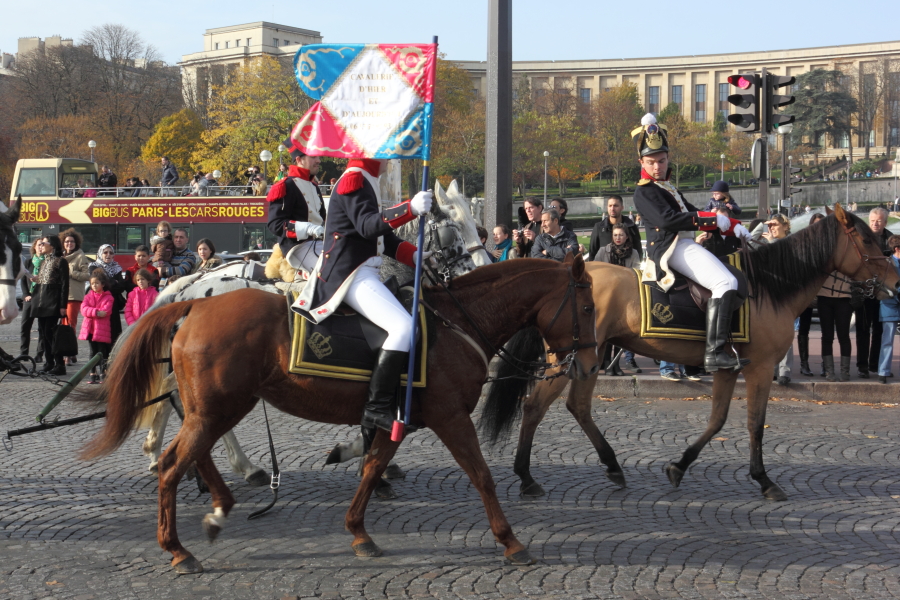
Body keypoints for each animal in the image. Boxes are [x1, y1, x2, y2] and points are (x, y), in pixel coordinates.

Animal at [77, 253, 596, 572]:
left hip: (218, 407)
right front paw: (511, 541)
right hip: (218, 408)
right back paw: (178, 547)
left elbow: (372, 467)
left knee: (192, 453)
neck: (455, 322)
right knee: (173, 463)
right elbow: (482, 475)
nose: (589, 365)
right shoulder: (451, 418)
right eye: (589, 306)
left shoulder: (397, 419)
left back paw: (220, 505)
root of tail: (192, 304)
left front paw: (359, 532)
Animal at [486, 205, 900, 502]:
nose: (896, 281)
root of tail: (564, 272)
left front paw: (680, 466)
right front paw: (764, 480)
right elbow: (755, 424)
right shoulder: (760, 367)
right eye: (867, 240)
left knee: (577, 406)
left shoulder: (729, 367)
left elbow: (717, 420)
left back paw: (611, 465)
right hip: (570, 357)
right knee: (534, 406)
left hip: (590, 356)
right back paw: (526, 477)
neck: (770, 287)